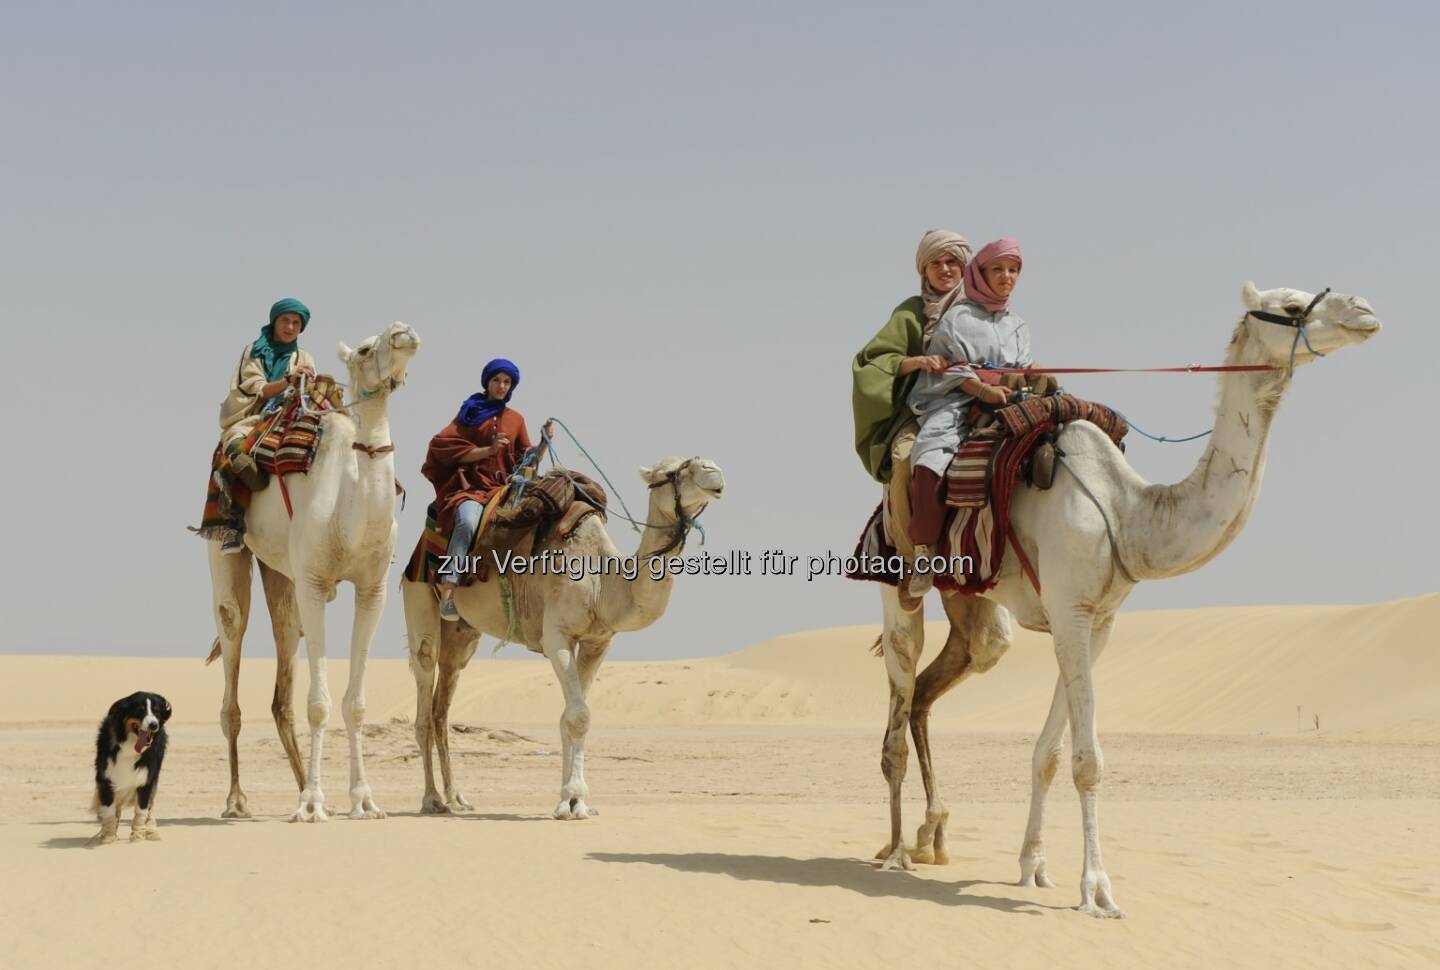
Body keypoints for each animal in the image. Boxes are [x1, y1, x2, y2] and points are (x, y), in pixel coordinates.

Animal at [92, 690, 170, 840]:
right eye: (140, 710)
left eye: (157, 711)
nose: (153, 725)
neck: (130, 746)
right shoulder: (106, 777)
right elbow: (109, 810)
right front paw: (108, 838)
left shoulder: (146, 778)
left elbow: (142, 810)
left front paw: (137, 837)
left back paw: (152, 831)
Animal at [208, 320, 420, 817]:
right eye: (363, 348)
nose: (403, 331)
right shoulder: (313, 583)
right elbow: (319, 704)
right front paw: (313, 805)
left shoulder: (373, 588)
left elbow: (355, 703)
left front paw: (363, 801)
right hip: (227, 556)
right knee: (233, 640)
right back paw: (238, 799)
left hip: (282, 577)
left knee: (283, 663)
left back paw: (301, 783)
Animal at [403, 454, 720, 817]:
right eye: (670, 472)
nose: (714, 472)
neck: (601, 581)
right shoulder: (556, 636)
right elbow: (579, 716)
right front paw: (571, 799)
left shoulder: (597, 641)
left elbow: (570, 716)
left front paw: (574, 801)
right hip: (419, 596)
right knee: (425, 687)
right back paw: (432, 799)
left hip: (462, 635)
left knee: (442, 705)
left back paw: (456, 796)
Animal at [875, 282, 1382, 915]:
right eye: (1290, 307)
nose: (1365, 311)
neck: (1127, 512)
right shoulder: (1070, 612)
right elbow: (1087, 761)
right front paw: (1097, 890)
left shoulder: (1097, 621)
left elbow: (1049, 755)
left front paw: (1034, 867)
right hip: (898, 579)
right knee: (899, 693)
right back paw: (895, 850)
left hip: (975, 604)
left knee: (942, 677)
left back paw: (930, 838)